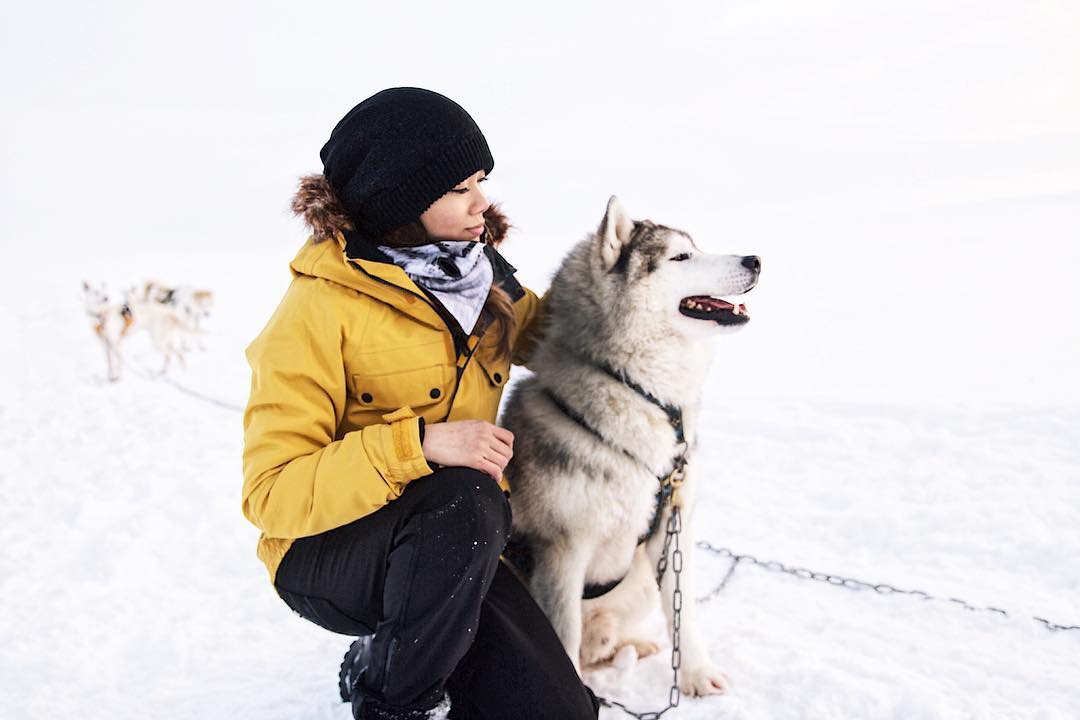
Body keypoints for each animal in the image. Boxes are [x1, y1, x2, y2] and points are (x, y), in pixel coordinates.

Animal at [498, 194, 760, 695]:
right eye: (680, 257)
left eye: (697, 246)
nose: (755, 259)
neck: (642, 394)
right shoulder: (562, 551)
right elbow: (563, 635)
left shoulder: (672, 530)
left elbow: (682, 612)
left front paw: (696, 674)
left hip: (637, 581)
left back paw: (631, 648)